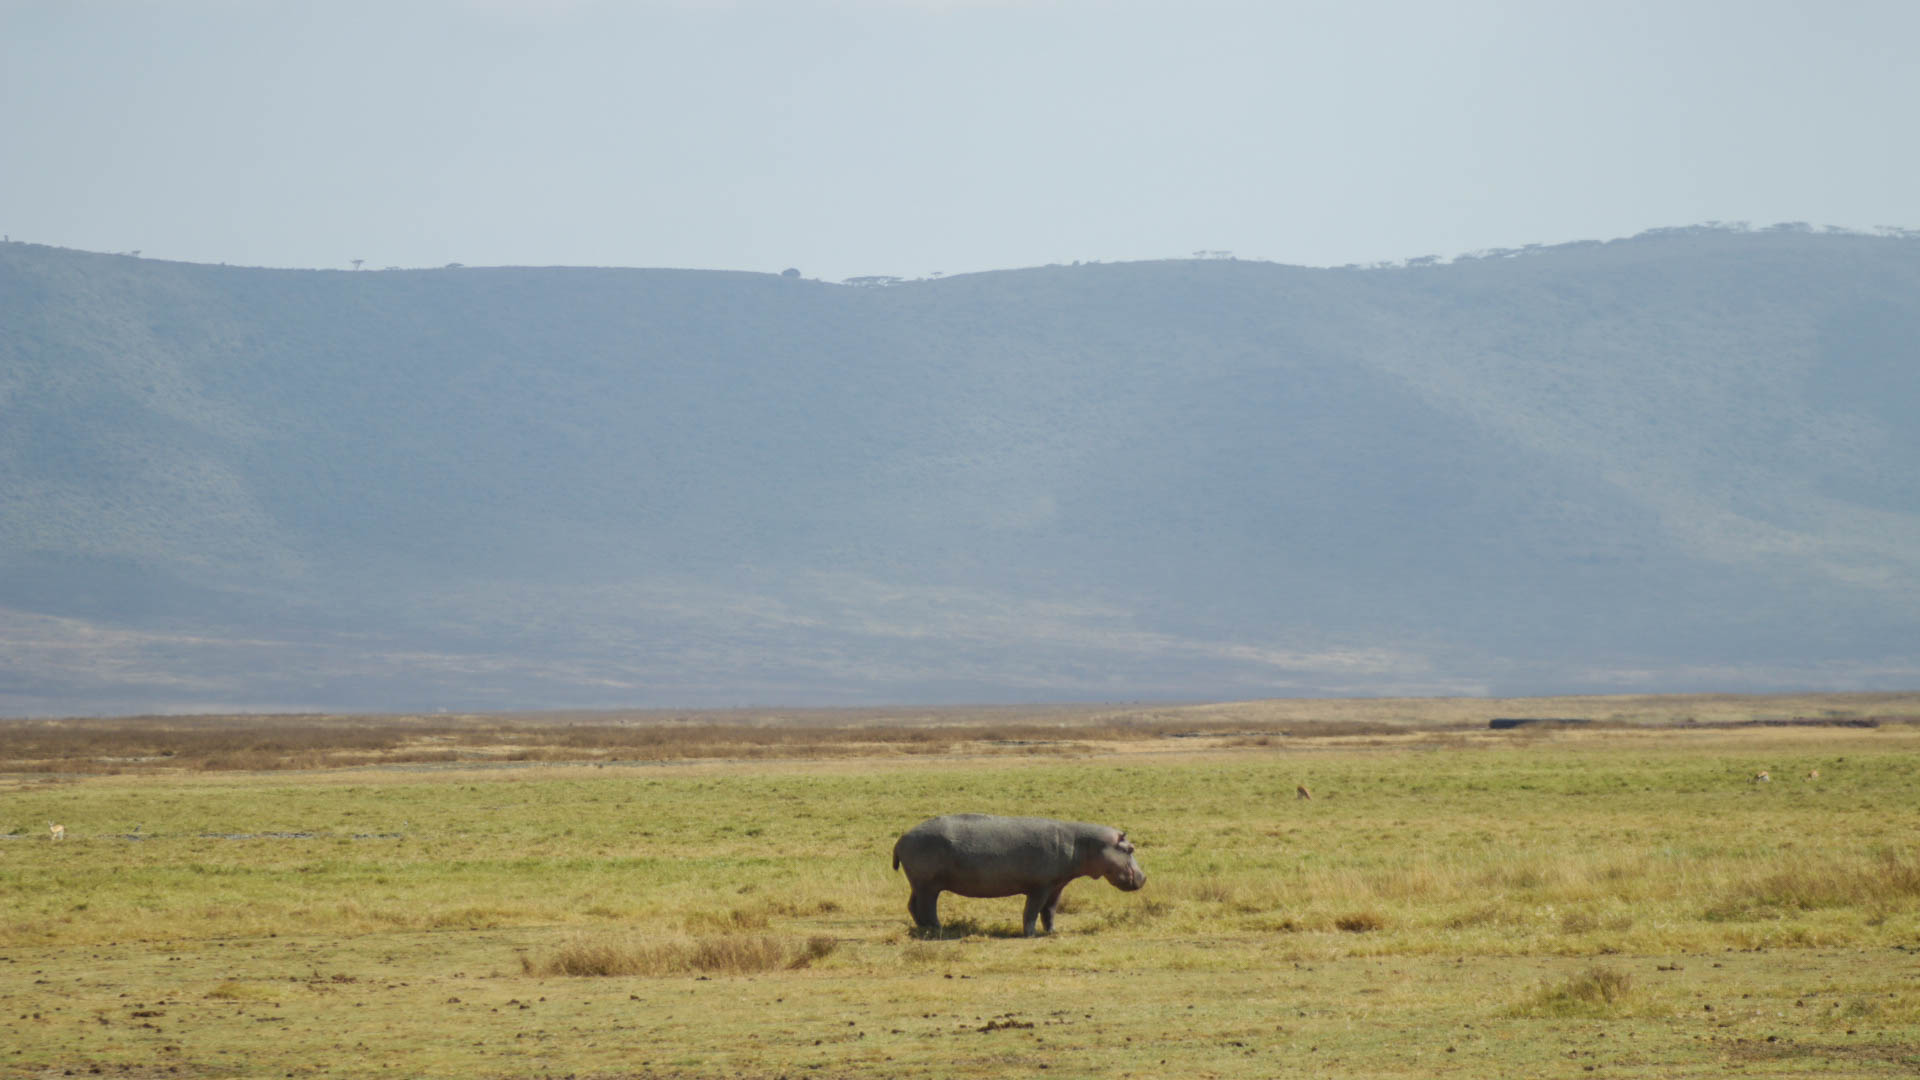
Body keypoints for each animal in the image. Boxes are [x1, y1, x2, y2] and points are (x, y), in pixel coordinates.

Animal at [891, 813, 1146, 937]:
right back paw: (938, 929)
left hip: (918, 884)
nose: (1144, 877)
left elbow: (1050, 911)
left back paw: (924, 928)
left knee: (912, 905)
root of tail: (902, 837)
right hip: (928, 885)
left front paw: (1052, 932)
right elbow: (1031, 911)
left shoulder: (1057, 886)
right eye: (1130, 848)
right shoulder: (1040, 887)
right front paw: (1030, 934)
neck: (1084, 844)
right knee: (927, 907)